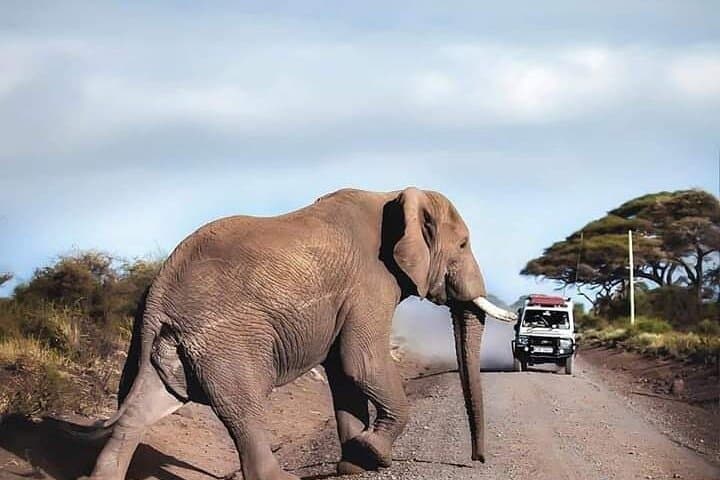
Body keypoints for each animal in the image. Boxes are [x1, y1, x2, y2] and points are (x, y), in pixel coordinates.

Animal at [83, 187, 517, 480]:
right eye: (463, 244)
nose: (476, 460)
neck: (392, 196)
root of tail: (159, 291)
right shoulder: (369, 282)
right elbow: (360, 362)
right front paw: (372, 453)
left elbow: (343, 374)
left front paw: (353, 464)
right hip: (227, 340)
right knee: (245, 407)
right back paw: (279, 477)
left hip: (165, 342)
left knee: (145, 406)